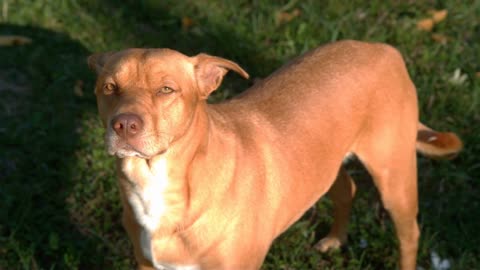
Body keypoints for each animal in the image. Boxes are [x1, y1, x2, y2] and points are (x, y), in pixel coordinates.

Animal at [88, 40, 464, 270]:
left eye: (166, 89)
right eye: (109, 87)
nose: (124, 125)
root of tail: (384, 48)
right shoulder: (147, 263)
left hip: (394, 176)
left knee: (409, 234)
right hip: (325, 165)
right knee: (348, 190)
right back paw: (335, 239)